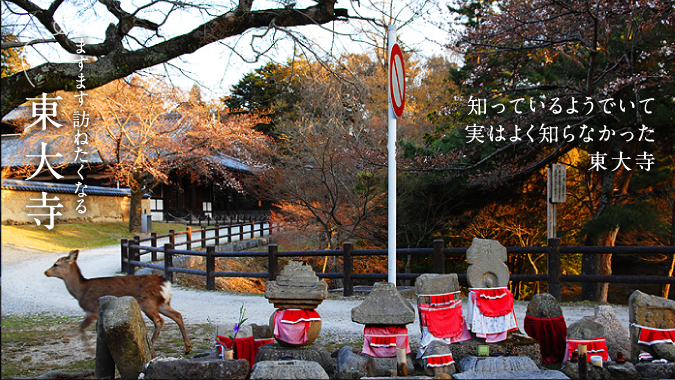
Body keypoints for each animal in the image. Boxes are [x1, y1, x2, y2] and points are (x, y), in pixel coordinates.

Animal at [44, 249, 193, 354]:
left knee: (159, 321)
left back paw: (151, 345)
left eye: (56, 264)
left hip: (148, 302)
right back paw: (187, 347)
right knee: (177, 315)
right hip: (162, 303)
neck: (81, 292)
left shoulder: (92, 310)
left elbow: (82, 327)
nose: (46, 272)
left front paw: (91, 351)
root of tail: (165, 283)